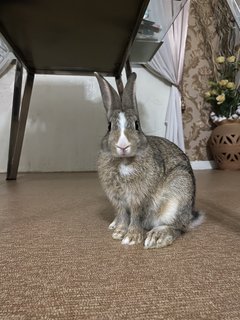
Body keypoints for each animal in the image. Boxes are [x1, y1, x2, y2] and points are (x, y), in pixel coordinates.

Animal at [94, 72, 203, 250]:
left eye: (137, 125)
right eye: (109, 126)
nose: (122, 145)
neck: (124, 161)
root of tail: (189, 217)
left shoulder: (138, 198)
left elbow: (135, 216)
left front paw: (130, 238)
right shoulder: (118, 200)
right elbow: (122, 215)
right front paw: (119, 232)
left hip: (178, 194)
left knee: (177, 228)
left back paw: (157, 238)